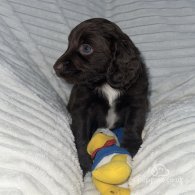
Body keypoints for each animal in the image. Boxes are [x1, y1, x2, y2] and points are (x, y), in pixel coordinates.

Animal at [53, 17, 149, 174]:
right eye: (69, 44)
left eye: (86, 48)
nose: (55, 67)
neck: (105, 81)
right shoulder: (82, 106)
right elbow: (81, 134)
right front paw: (85, 163)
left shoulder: (137, 101)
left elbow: (133, 125)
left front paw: (130, 149)